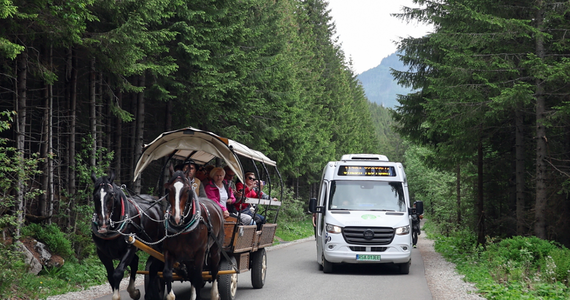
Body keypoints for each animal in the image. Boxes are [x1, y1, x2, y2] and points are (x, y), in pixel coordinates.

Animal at [90, 172, 163, 300]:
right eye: (95, 195)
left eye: (112, 194)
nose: (103, 223)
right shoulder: (102, 253)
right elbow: (110, 275)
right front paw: (131, 292)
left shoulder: (130, 247)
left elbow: (118, 273)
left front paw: (117, 296)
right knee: (136, 262)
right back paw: (134, 291)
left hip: (156, 245)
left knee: (155, 267)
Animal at [160, 171, 224, 300]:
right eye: (169, 189)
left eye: (187, 190)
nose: (176, 218)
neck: (183, 230)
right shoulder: (168, 251)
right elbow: (167, 273)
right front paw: (171, 295)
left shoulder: (200, 252)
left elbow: (198, 277)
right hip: (188, 257)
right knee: (191, 273)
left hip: (215, 248)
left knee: (214, 269)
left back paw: (215, 294)